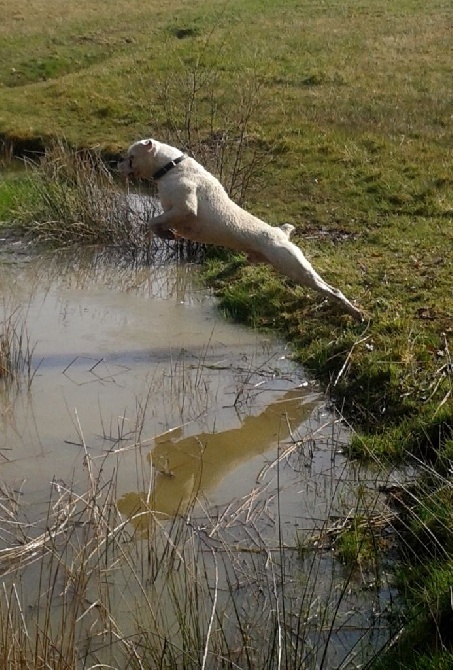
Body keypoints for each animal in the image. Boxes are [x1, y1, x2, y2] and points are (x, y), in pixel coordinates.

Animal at [118, 138, 362, 322]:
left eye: (131, 156)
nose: (117, 164)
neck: (171, 167)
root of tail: (281, 233)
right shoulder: (173, 211)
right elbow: (157, 223)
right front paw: (167, 233)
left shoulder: (185, 208)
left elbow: (154, 222)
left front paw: (166, 233)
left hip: (295, 267)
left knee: (331, 290)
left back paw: (355, 312)